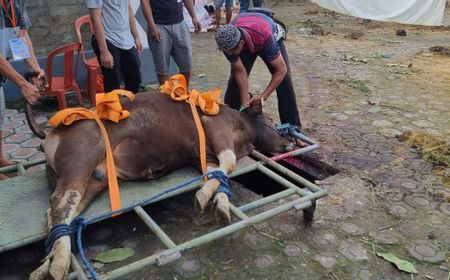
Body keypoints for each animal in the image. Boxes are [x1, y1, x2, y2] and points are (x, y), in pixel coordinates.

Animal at [28, 91, 296, 278]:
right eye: (271, 118)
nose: (290, 142)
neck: (244, 132)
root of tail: (50, 133)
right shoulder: (215, 126)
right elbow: (228, 163)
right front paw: (203, 199)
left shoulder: (206, 158)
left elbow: (219, 174)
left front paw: (218, 206)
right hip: (80, 157)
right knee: (62, 202)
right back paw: (57, 266)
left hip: (95, 177)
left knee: (60, 211)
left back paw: (45, 265)